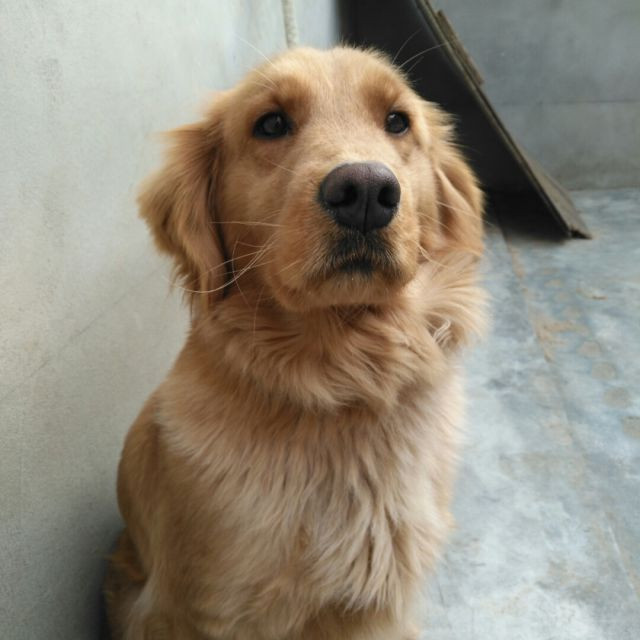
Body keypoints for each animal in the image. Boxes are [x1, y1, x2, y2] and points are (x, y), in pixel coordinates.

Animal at [104, 46, 485, 639]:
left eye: (397, 121)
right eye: (271, 124)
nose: (365, 193)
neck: (346, 385)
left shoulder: (375, 603)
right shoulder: (195, 609)